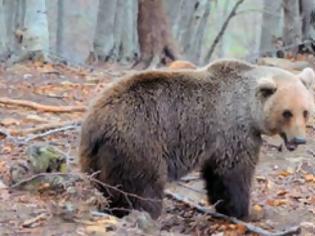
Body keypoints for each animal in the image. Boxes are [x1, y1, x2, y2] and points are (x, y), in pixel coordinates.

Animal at [79, 59, 315, 219]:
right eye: (287, 112)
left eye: (305, 111)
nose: (299, 140)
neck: (248, 109)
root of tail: (98, 121)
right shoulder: (233, 130)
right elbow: (233, 173)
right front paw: (245, 212)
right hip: (139, 142)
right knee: (144, 187)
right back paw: (144, 214)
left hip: (94, 155)